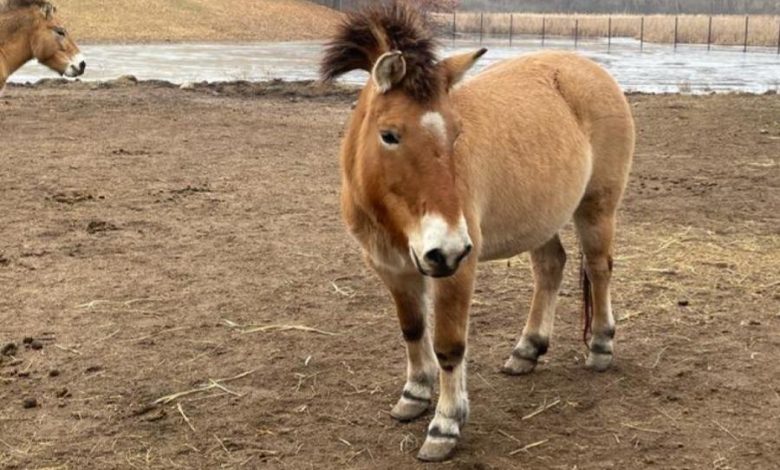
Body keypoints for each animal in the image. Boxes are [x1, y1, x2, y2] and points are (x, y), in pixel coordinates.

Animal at [320, 0, 636, 462]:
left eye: (456, 133)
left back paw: (600, 346)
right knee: (551, 267)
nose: (446, 247)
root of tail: (592, 71)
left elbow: (449, 345)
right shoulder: (393, 268)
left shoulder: (456, 270)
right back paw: (527, 350)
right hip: (539, 219)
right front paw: (414, 394)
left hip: (596, 208)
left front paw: (445, 425)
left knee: (598, 268)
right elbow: (413, 329)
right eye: (389, 135)